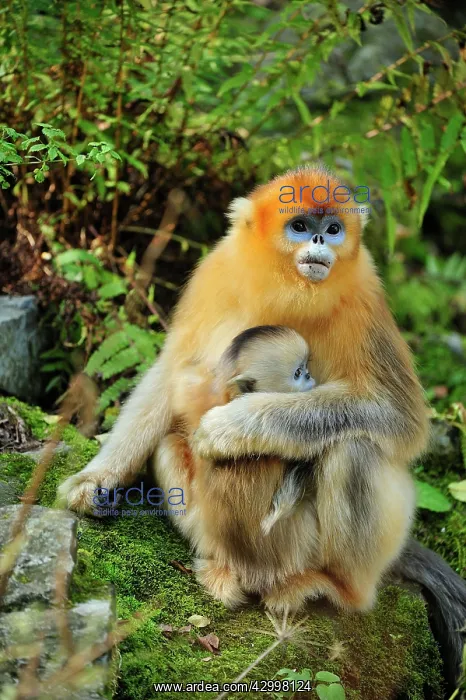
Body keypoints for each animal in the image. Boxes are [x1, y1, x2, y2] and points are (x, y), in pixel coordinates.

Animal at [58, 164, 466, 688]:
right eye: (300, 225)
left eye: (334, 228)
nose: (319, 239)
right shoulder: (218, 271)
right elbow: (173, 370)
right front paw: (98, 479)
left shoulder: (366, 296)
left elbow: (399, 417)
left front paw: (232, 426)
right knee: (171, 440)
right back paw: (223, 568)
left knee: (355, 447)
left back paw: (334, 589)